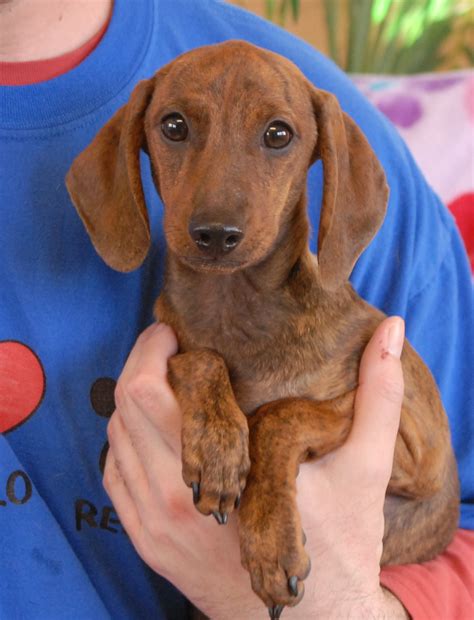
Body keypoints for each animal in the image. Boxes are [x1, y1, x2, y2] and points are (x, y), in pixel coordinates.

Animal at [66, 41, 460, 616]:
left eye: (278, 134)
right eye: (174, 125)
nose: (214, 234)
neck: (237, 310)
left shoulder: (414, 443)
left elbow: (281, 413)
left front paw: (271, 541)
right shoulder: (179, 346)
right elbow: (200, 359)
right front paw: (219, 447)